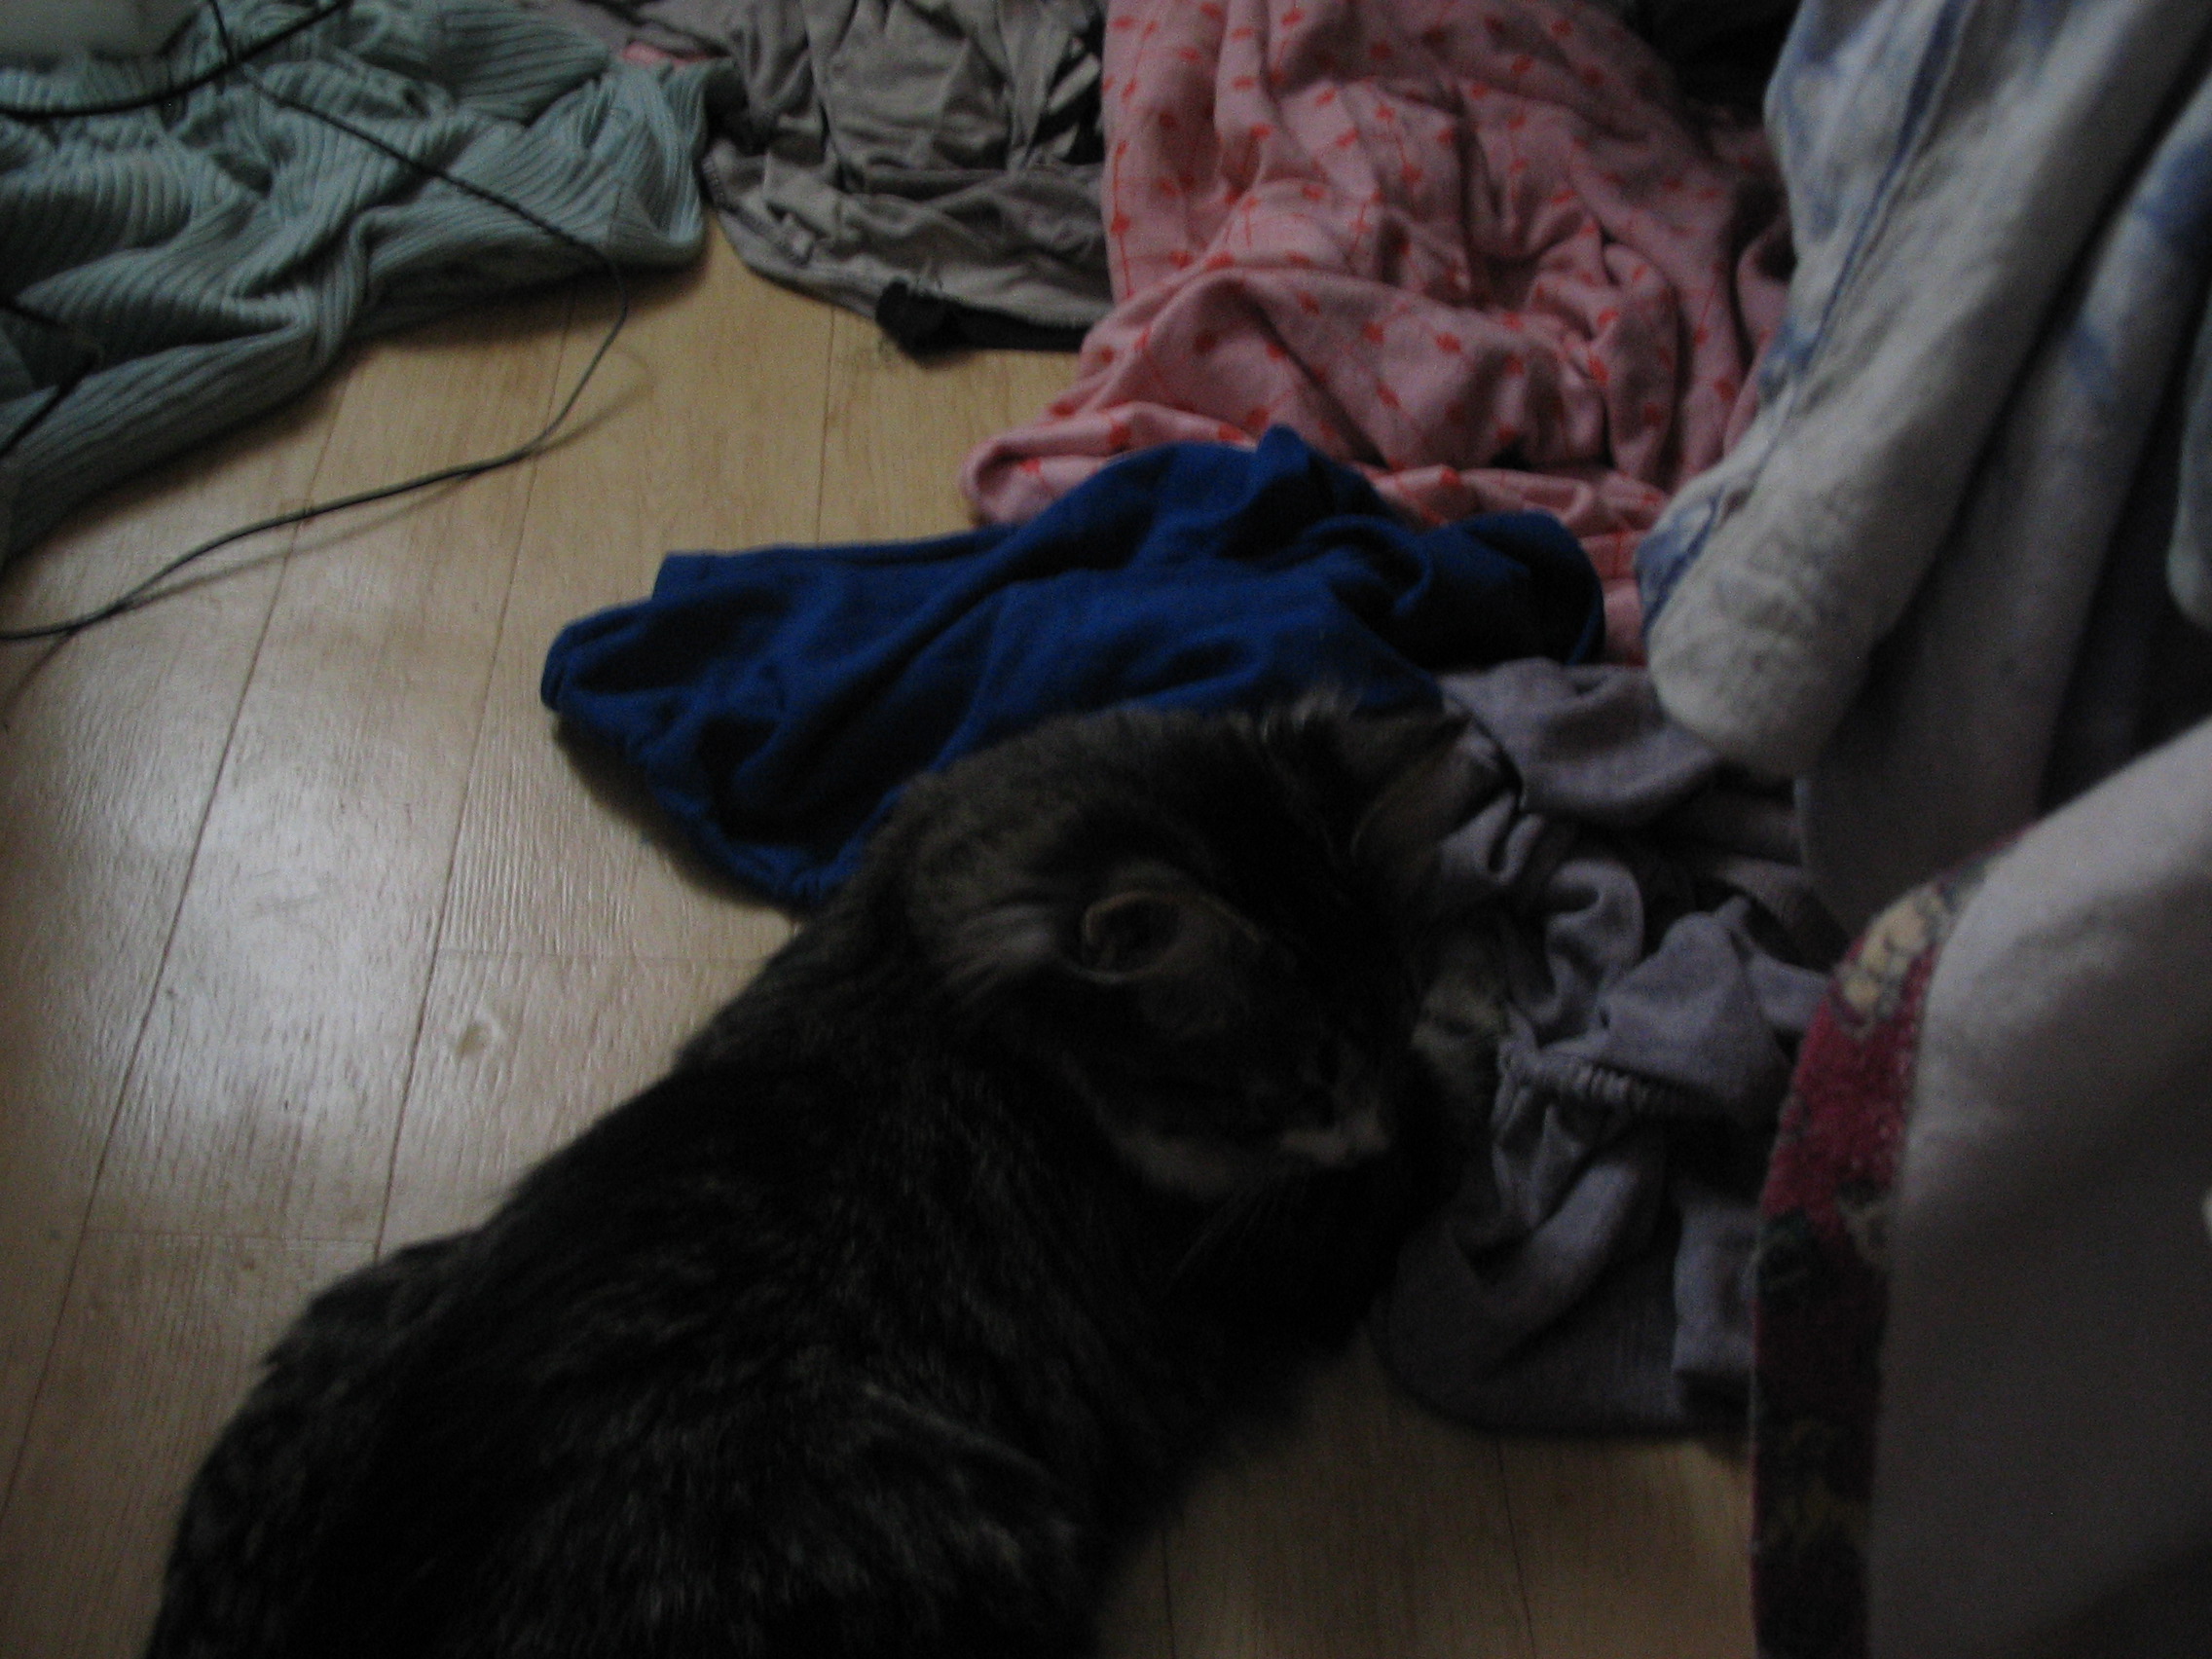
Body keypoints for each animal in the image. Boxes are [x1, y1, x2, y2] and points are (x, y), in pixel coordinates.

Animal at [145, 696, 1477, 1659]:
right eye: (1293, 1089)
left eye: (1384, 1013)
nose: (1357, 1121)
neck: (926, 949)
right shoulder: (1264, 1252)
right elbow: (1432, 1127)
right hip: (984, 1521)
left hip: (373, 1301)